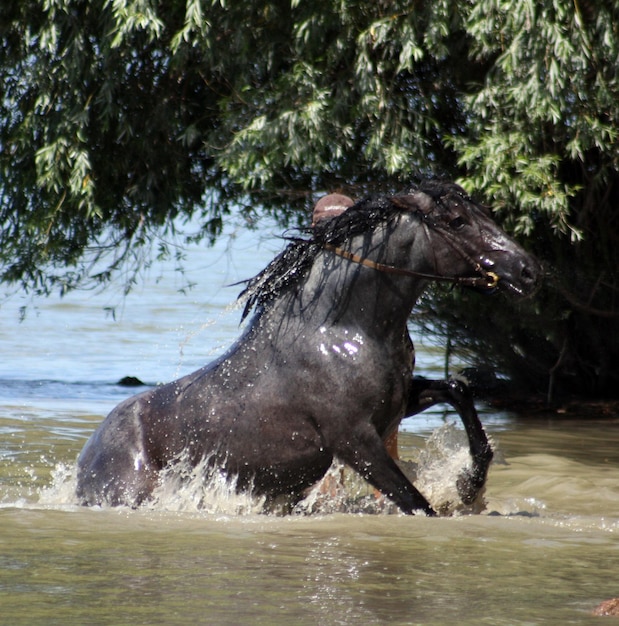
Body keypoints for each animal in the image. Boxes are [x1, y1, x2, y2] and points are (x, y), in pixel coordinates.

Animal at [76, 180, 544, 512]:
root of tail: (90, 454)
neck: (338, 330)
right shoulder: (355, 441)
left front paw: (469, 485)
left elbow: (457, 389)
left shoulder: (394, 408)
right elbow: (416, 504)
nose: (529, 271)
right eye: (458, 222)